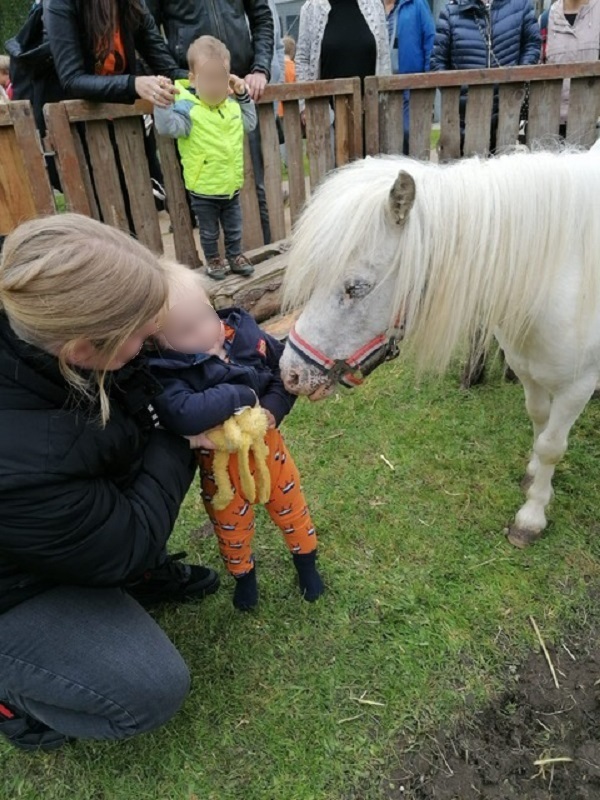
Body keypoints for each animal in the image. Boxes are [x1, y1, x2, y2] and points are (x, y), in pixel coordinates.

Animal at [278, 144, 600, 548]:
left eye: (356, 288)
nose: (290, 373)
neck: (557, 278)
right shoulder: (527, 370)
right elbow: (539, 423)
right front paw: (532, 476)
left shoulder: (577, 387)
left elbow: (552, 447)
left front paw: (532, 515)